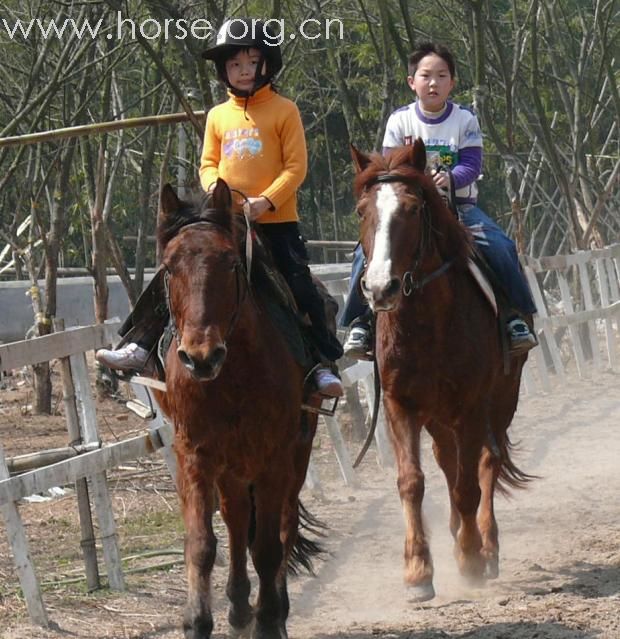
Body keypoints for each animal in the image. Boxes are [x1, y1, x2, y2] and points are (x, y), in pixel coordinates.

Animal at [153, 179, 322, 639]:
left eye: (230, 263)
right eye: (169, 268)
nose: (200, 357)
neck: (230, 375)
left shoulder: (274, 459)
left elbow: (267, 547)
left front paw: (267, 621)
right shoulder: (195, 455)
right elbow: (201, 543)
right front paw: (198, 621)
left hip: (294, 455)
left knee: (283, 525)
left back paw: (271, 611)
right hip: (232, 467)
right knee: (235, 519)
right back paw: (238, 607)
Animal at [352, 142, 532, 604]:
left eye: (414, 209)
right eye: (362, 210)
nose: (380, 288)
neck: (426, 322)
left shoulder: (470, 406)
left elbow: (469, 485)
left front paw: (470, 558)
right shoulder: (400, 405)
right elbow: (411, 482)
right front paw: (417, 571)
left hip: (500, 402)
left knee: (485, 463)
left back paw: (486, 544)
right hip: (437, 417)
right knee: (448, 462)